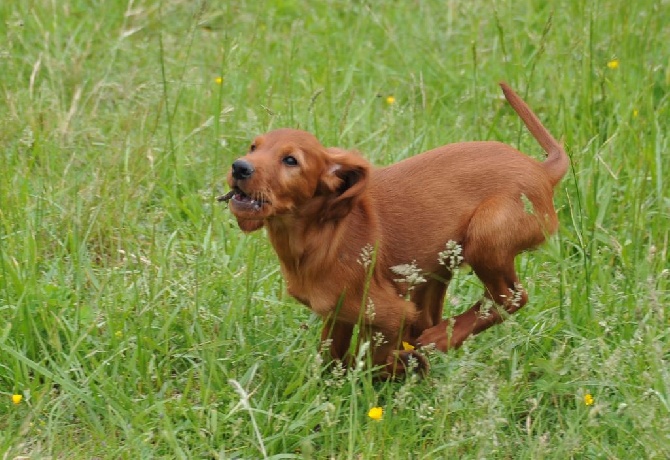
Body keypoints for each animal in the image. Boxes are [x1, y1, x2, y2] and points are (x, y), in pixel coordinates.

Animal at [223, 83, 568, 378]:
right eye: (253, 147)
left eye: (291, 160)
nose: (239, 167)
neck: (319, 236)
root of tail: (542, 171)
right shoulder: (338, 314)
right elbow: (333, 358)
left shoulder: (392, 313)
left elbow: (376, 359)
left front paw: (402, 365)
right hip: (437, 268)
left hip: (486, 236)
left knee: (510, 297)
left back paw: (438, 339)